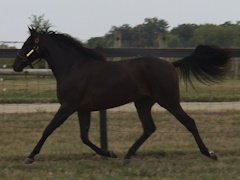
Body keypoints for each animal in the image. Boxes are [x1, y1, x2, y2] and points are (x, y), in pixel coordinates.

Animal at [12, 27, 230, 165]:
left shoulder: (67, 106)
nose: (15, 65)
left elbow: (49, 129)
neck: (74, 66)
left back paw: (210, 153)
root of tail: (170, 64)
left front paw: (30, 156)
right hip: (143, 103)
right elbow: (84, 137)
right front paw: (110, 153)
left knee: (189, 122)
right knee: (149, 128)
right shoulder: (82, 109)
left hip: (169, 101)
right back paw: (127, 156)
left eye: (28, 43)